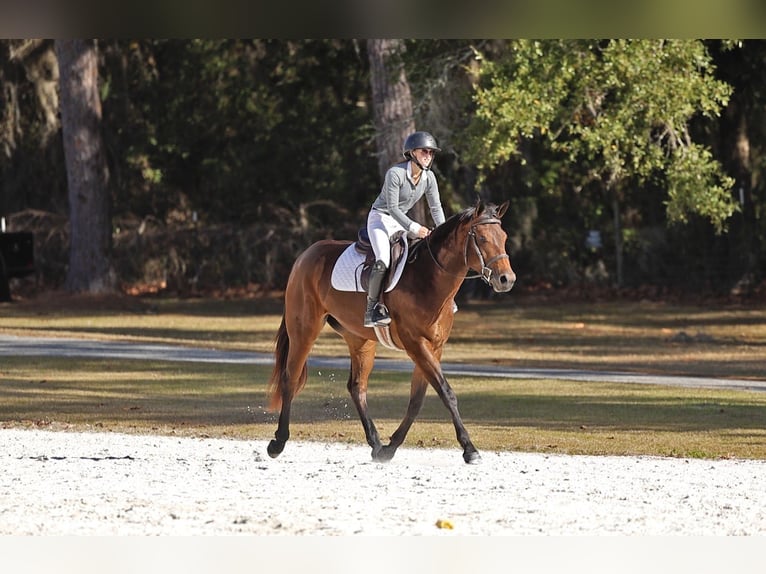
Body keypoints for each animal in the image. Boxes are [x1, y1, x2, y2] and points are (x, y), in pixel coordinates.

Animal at [266, 199, 516, 464]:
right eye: (482, 238)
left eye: (504, 237)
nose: (506, 279)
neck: (428, 278)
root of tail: (305, 255)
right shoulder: (416, 345)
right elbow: (446, 392)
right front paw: (470, 449)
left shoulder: (434, 348)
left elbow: (417, 400)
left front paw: (390, 447)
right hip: (304, 330)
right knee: (290, 378)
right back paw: (278, 442)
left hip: (360, 340)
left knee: (357, 387)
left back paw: (375, 443)